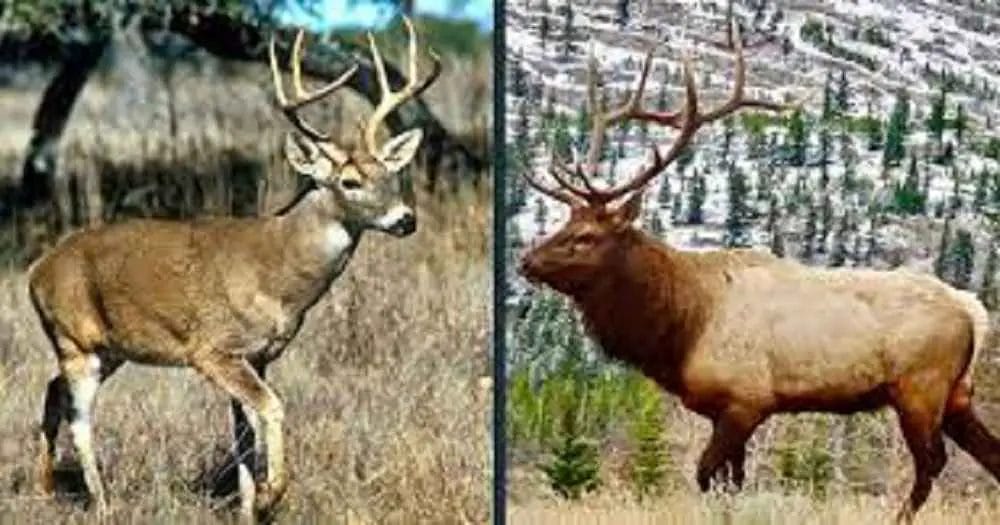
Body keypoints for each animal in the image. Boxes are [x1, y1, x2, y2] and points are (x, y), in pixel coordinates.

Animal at [26, 17, 440, 519]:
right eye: (350, 181)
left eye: (391, 175)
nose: (406, 219)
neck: (277, 275)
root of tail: (36, 271)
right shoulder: (213, 349)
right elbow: (272, 409)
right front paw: (269, 493)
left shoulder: (259, 355)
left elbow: (243, 432)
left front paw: (247, 507)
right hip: (74, 340)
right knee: (79, 418)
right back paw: (102, 504)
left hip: (108, 348)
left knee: (53, 392)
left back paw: (46, 489)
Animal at [518, 23, 1000, 523]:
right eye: (564, 224)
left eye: (586, 236)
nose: (526, 261)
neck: (683, 326)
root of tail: (973, 309)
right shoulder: (722, 409)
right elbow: (730, 482)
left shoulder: (746, 400)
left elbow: (707, 476)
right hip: (957, 394)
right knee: (991, 456)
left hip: (920, 387)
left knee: (932, 462)